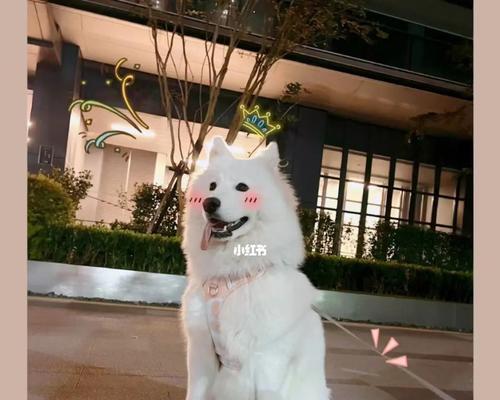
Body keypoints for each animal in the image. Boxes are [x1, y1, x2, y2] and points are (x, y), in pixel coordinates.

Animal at [182, 138, 330, 400]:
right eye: (212, 186)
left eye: (242, 187)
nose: (210, 203)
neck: (232, 274)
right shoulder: (201, 353)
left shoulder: (267, 361)